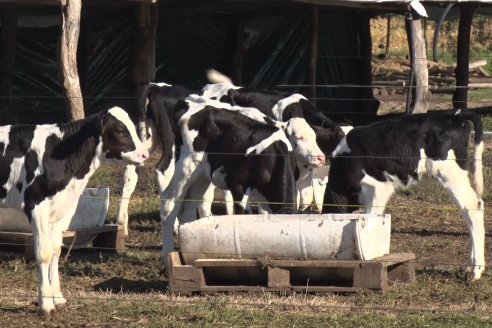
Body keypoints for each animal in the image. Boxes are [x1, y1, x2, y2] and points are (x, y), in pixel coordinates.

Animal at [0, 107, 150, 318]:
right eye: (120, 130)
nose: (145, 155)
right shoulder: (36, 206)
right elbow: (43, 253)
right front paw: (46, 305)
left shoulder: (61, 210)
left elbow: (56, 250)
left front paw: (58, 299)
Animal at [322, 109, 484, 280]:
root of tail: (455, 114)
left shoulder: (378, 188)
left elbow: (372, 217)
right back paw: (468, 268)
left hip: (450, 172)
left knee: (472, 206)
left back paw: (476, 271)